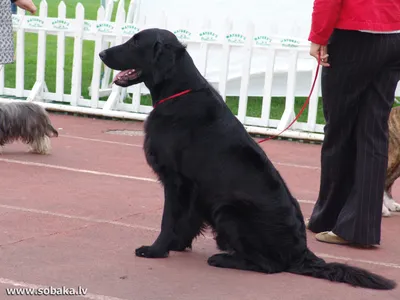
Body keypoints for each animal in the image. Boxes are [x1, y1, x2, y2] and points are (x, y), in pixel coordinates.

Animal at [99, 29, 396, 290]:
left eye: (136, 42)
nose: (101, 53)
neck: (178, 94)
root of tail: (300, 251)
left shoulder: (176, 181)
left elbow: (168, 219)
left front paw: (156, 250)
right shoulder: (194, 189)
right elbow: (186, 221)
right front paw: (176, 245)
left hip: (229, 210)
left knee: (269, 266)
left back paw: (222, 258)